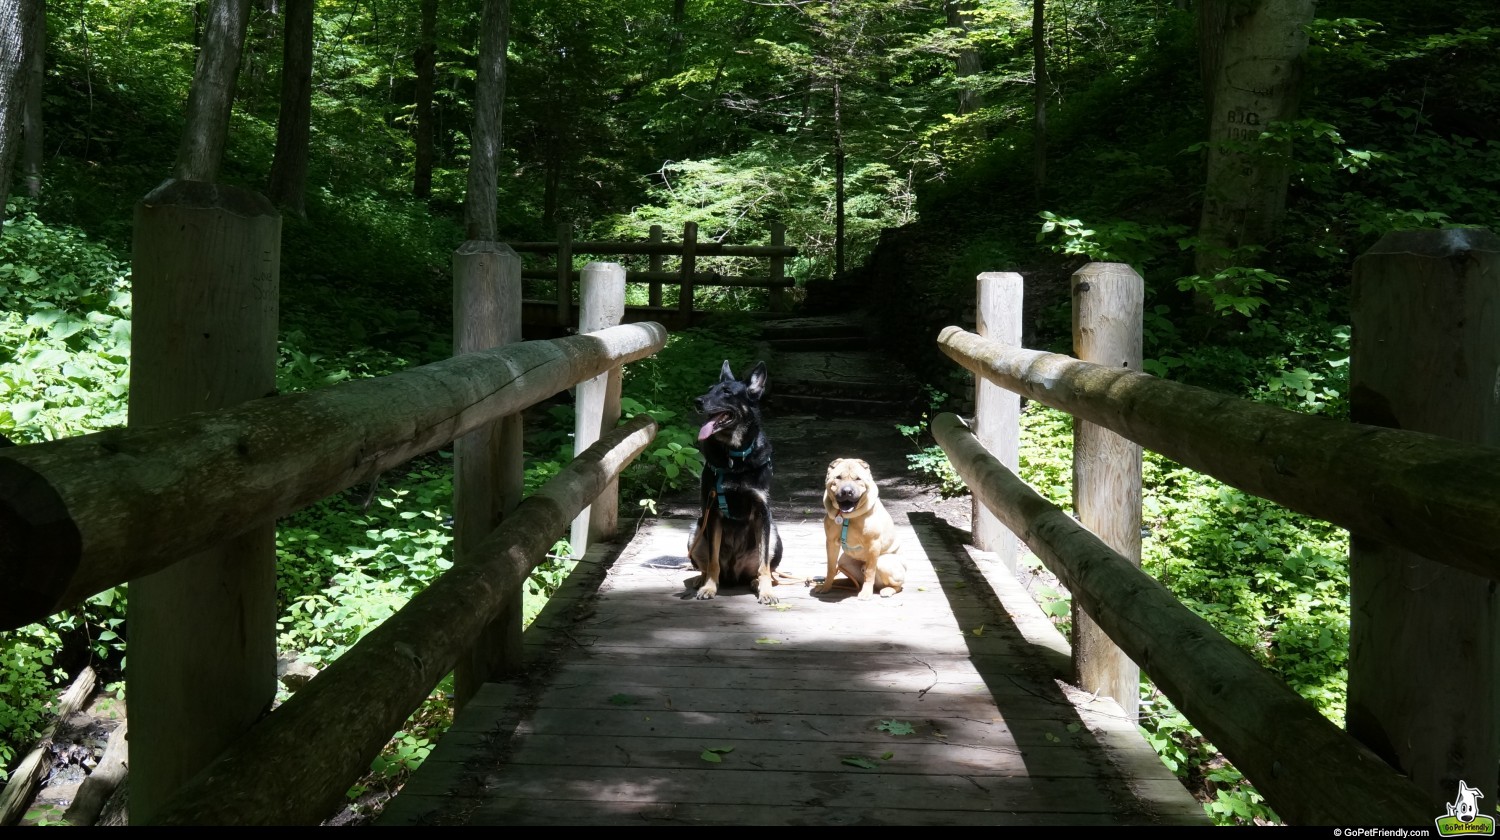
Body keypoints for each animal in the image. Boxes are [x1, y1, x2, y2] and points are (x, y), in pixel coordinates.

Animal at [687, 360, 786, 603]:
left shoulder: (762, 512)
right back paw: (700, 579)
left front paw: (766, 591)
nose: (697, 401)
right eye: (709, 389)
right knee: (705, 564)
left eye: (727, 392)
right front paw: (709, 587)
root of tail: (735, 573)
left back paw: (757, 582)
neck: (734, 457)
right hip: (695, 531)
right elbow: (713, 560)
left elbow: (764, 565)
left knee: (765, 568)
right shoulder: (713, 512)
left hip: (775, 537)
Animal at [816, 456, 906, 600]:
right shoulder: (831, 543)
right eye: (838, 477)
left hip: (884, 563)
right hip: (844, 561)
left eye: (858, 479)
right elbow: (830, 568)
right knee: (854, 579)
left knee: (898, 585)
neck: (847, 517)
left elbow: (870, 572)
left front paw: (866, 593)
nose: (847, 491)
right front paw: (825, 587)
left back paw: (887, 590)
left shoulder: (874, 545)